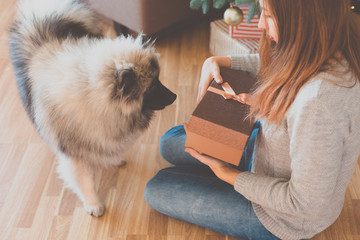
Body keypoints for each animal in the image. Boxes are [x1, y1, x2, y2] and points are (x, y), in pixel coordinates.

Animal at [7, 0, 176, 218]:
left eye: (159, 79)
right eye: (153, 86)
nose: (174, 96)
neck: (91, 96)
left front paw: (115, 159)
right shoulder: (75, 153)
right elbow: (85, 180)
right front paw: (93, 203)